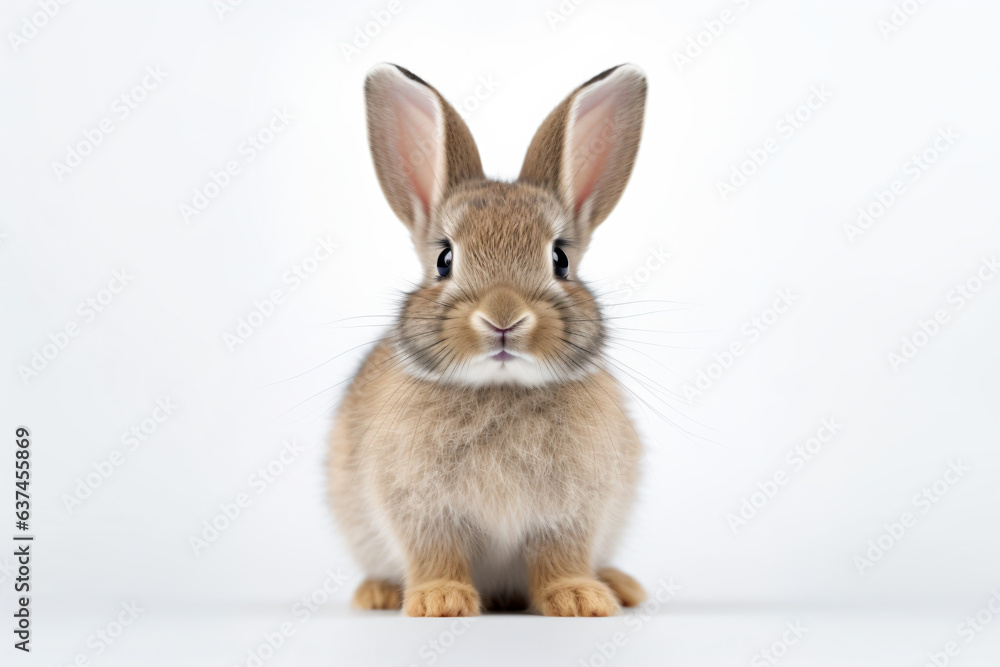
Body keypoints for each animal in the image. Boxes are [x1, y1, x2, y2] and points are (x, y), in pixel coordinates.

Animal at [328, 63, 648, 617]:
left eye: (560, 259)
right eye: (444, 259)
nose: (503, 318)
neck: (501, 388)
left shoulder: (571, 513)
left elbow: (560, 556)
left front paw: (580, 598)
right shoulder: (421, 509)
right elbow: (435, 553)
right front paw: (440, 600)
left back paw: (618, 584)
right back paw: (378, 593)